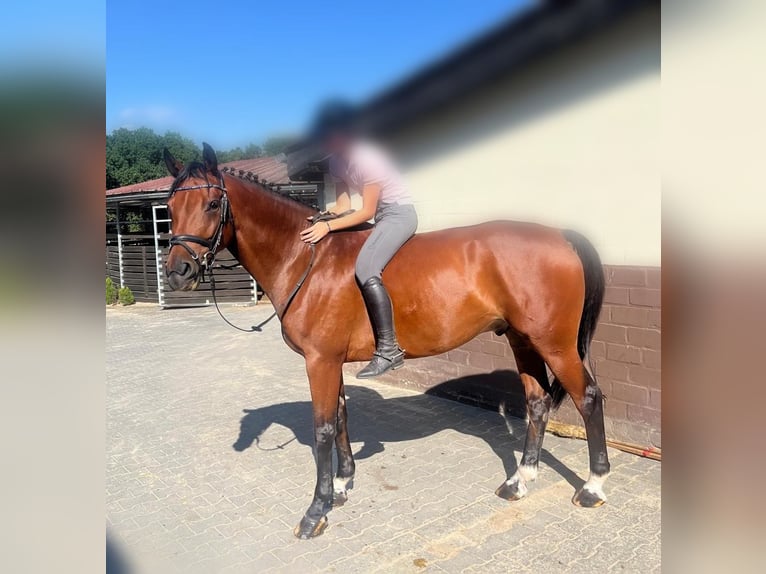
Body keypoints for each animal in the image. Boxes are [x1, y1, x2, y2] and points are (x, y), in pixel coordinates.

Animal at [162, 143, 610, 539]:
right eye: (169, 207)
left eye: (212, 205)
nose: (178, 273)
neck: (306, 258)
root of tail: (561, 236)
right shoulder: (331, 361)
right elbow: (341, 418)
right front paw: (341, 485)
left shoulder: (319, 360)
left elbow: (323, 428)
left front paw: (316, 511)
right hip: (523, 340)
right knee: (537, 403)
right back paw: (520, 480)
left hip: (554, 344)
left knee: (588, 398)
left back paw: (592, 486)